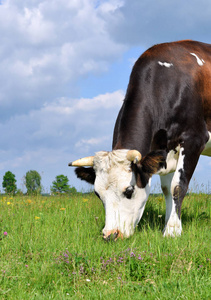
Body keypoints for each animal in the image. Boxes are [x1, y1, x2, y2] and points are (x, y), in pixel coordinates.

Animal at [68, 39, 210, 241]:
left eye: (129, 190)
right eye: (97, 194)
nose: (110, 234)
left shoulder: (194, 140)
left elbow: (177, 186)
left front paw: (173, 230)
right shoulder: (164, 150)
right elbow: (166, 189)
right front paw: (167, 225)